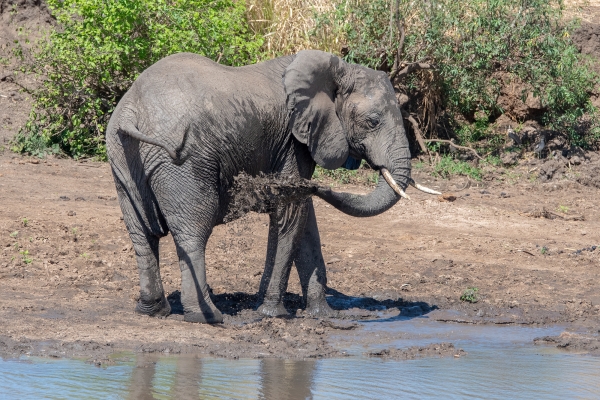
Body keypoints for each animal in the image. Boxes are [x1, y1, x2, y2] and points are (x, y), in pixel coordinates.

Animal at [105, 48, 438, 324]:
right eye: (372, 121)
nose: (319, 187)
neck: (337, 68)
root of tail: (132, 110)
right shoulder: (293, 141)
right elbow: (290, 214)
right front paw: (271, 313)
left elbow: (305, 222)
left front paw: (321, 314)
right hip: (183, 161)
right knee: (193, 230)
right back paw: (207, 316)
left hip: (122, 157)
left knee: (142, 233)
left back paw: (153, 311)